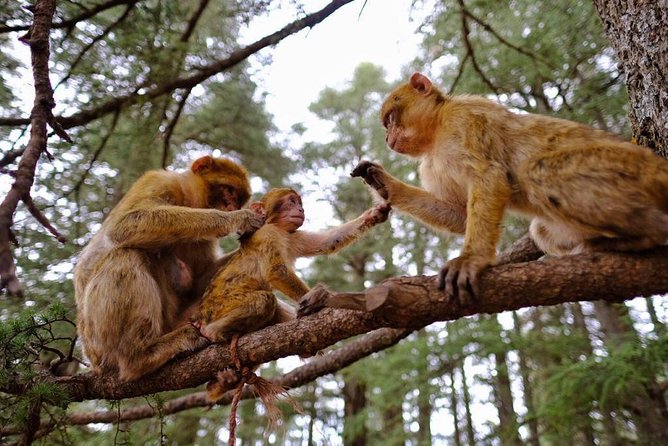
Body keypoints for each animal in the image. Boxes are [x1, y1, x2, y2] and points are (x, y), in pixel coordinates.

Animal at [198, 186, 392, 402]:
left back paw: (223, 382)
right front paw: (322, 298)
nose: (300, 209)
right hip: (220, 307)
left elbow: (326, 242)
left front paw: (375, 214)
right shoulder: (269, 234)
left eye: (299, 203)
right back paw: (214, 332)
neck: (277, 227)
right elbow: (277, 272)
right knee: (265, 301)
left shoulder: (292, 236)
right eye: (291, 201)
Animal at [304, 72, 668, 310]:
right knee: (541, 229)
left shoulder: (467, 119)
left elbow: (489, 176)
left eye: (391, 118)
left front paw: (472, 259)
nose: (387, 137)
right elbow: (459, 215)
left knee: (541, 171)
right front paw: (383, 184)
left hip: (632, 171)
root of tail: (657, 164)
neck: (437, 132)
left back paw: (647, 235)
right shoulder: (430, 166)